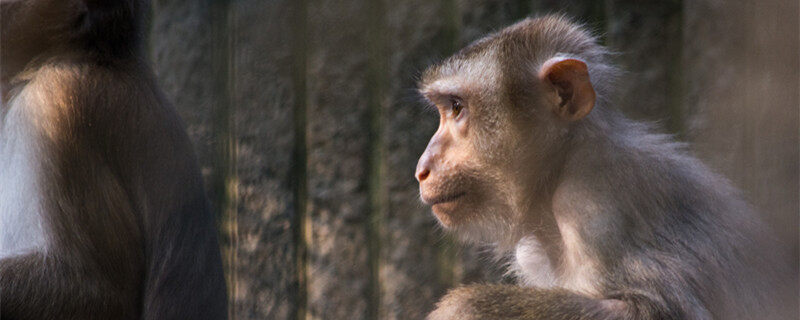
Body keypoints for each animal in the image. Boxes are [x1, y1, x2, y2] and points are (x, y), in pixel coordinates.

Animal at [418, 15, 792, 320]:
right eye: (446, 108)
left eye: (456, 107)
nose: (422, 168)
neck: (563, 168)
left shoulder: (595, 208)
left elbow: (665, 310)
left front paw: (466, 307)